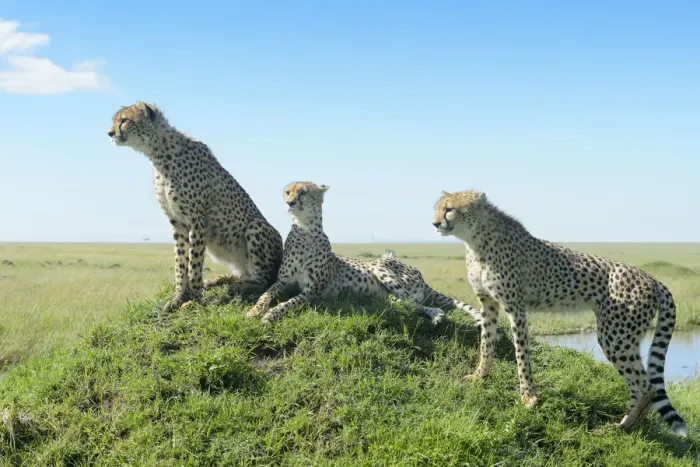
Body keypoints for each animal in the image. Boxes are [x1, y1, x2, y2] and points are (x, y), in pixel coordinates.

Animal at [108, 101, 283, 312]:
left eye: (124, 120)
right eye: (115, 120)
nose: (109, 133)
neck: (159, 153)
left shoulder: (197, 220)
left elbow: (194, 262)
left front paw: (194, 298)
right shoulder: (177, 222)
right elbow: (180, 262)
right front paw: (177, 297)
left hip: (256, 226)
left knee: (263, 280)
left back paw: (237, 286)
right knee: (243, 274)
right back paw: (218, 279)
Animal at [246, 181, 489, 330]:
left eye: (303, 191)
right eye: (287, 191)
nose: (289, 202)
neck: (305, 229)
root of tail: (421, 276)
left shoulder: (311, 290)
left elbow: (286, 303)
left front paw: (269, 315)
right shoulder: (282, 281)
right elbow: (265, 294)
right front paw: (254, 311)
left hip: (381, 266)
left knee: (412, 303)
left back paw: (434, 313)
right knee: (407, 303)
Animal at [432, 188, 688, 437]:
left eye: (449, 209)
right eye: (436, 208)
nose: (434, 223)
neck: (476, 239)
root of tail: (651, 279)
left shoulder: (516, 308)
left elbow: (521, 354)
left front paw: (528, 398)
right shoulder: (488, 304)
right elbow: (486, 342)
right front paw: (480, 376)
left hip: (616, 337)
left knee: (645, 386)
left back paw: (622, 426)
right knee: (645, 386)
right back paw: (631, 425)